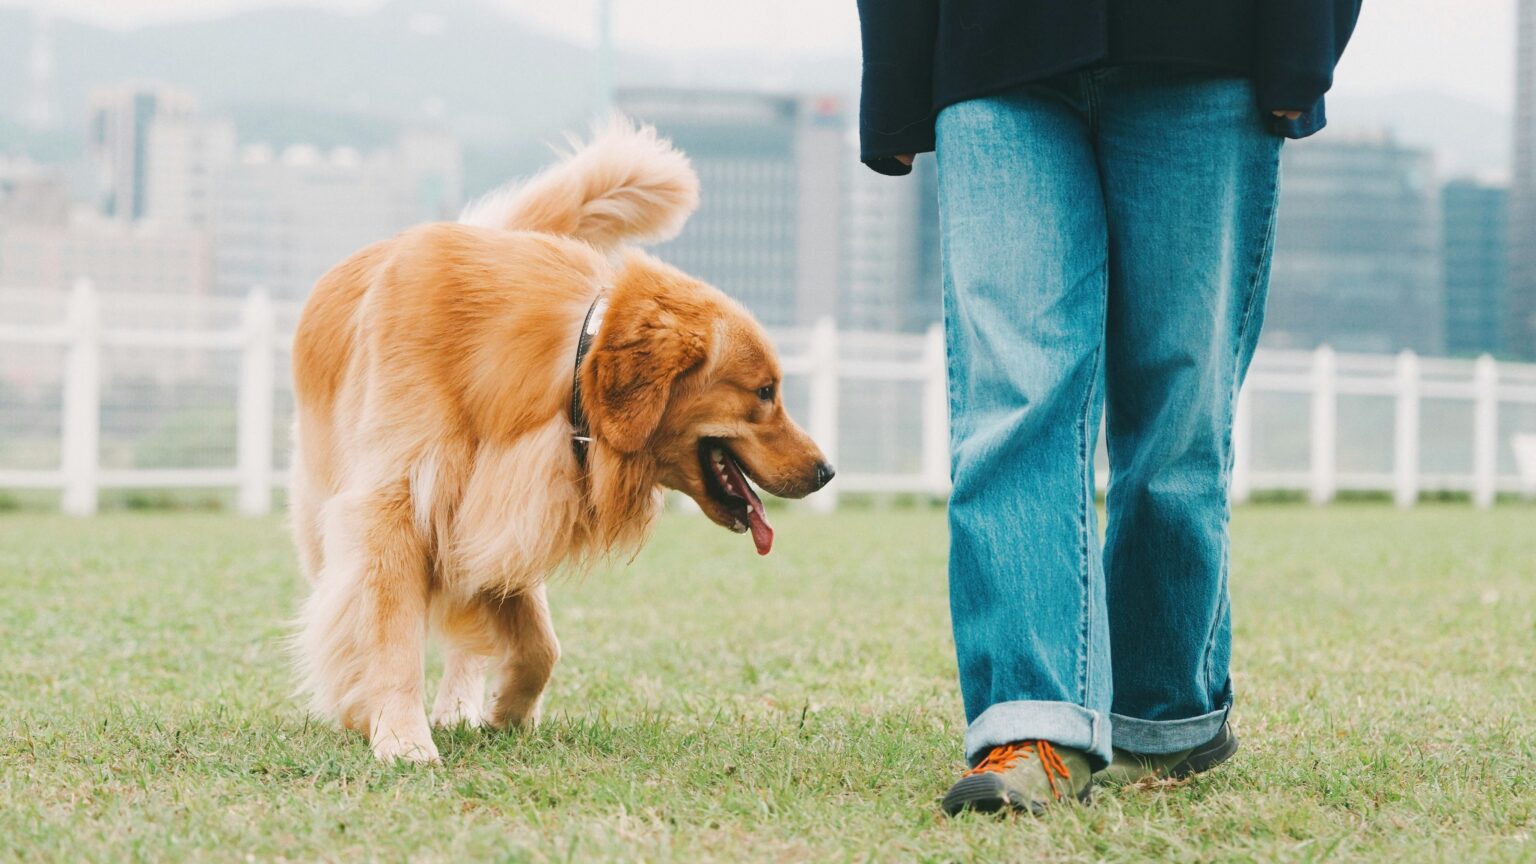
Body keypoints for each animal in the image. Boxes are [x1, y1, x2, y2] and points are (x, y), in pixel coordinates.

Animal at [290, 117, 841, 756]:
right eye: (765, 391)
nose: (828, 471)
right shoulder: (395, 505)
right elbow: (390, 632)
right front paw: (398, 735)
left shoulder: (502, 511)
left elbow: (540, 644)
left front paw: (507, 711)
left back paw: (459, 706)